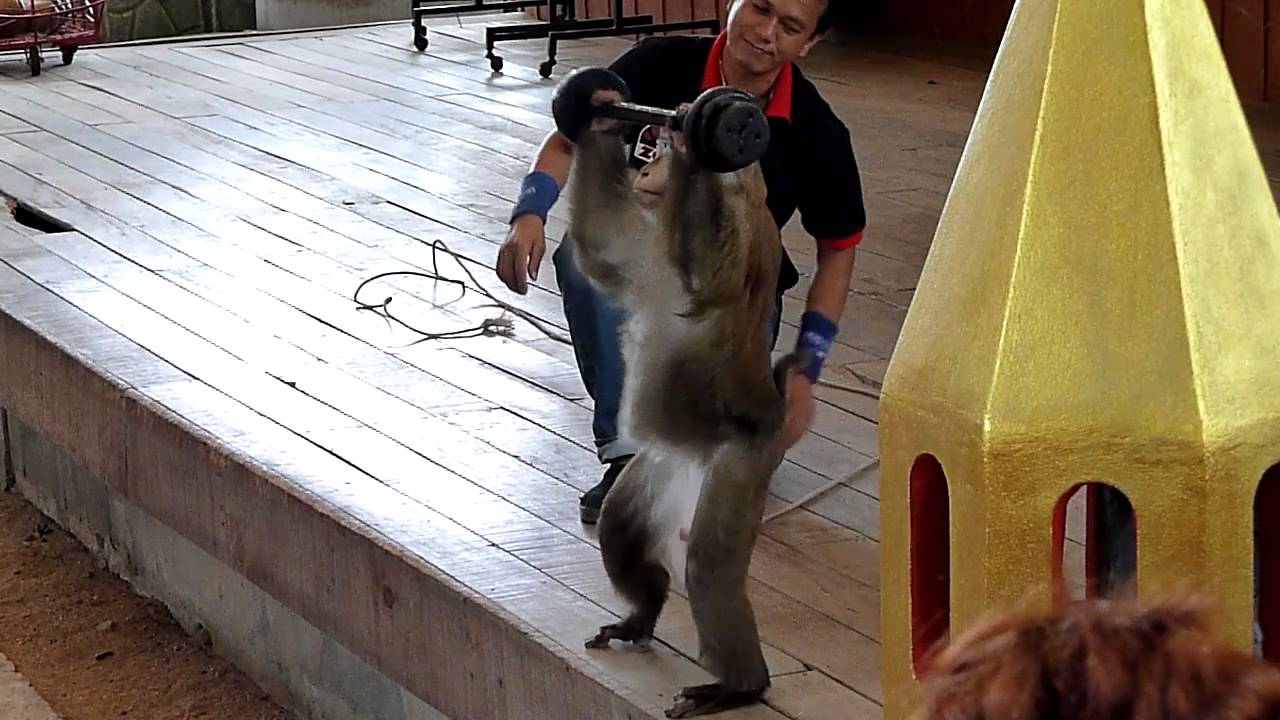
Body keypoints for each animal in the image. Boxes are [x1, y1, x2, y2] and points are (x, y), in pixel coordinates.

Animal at [563, 91, 804, 718]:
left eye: (658, 153)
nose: (647, 167)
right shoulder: (647, 250)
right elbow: (601, 250)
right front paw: (597, 110)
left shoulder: (747, 232)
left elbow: (713, 278)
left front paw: (699, 147)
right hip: (659, 467)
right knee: (620, 527)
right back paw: (642, 615)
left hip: (738, 467)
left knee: (709, 567)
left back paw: (741, 685)